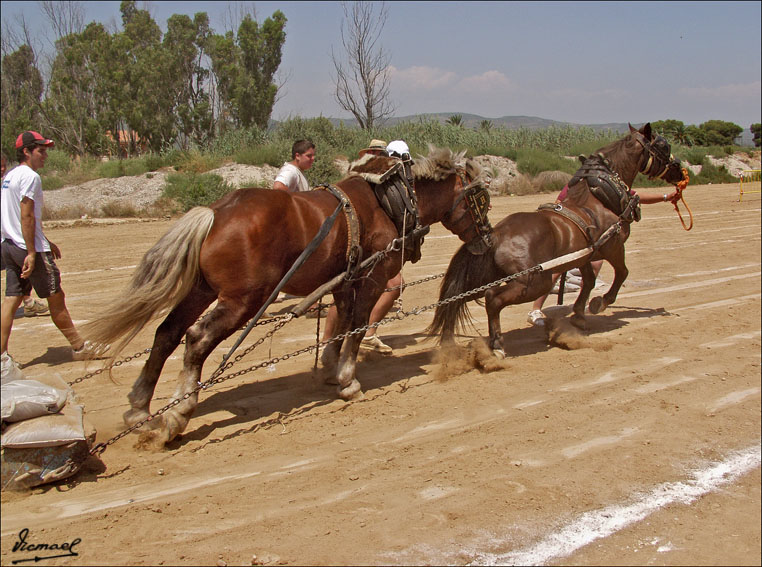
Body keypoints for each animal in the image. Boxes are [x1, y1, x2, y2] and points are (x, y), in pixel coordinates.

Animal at [81, 145, 486, 444]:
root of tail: (215, 213)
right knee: (196, 339)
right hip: (243, 300)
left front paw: (330, 367)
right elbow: (356, 325)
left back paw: (139, 408)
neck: (389, 201)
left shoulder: (345, 279)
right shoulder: (373, 277)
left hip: (201, 290)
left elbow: (342, 324)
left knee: (167, 333)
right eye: (482, 200)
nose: (485, 240)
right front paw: (349, 381)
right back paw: (179, 413)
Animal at [430, 123, 684, 360]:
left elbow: (589, 281)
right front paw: (601, 302)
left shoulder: (585, 255)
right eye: (663, 146)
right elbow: (622, 273)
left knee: (462, 300)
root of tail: (496, 234)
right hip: (533, 282)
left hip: (486, 279)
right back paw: (497, 346)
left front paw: (580, 315)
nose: (680, 172)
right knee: (493, 299)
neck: (599, 198)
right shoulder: (613, 247)